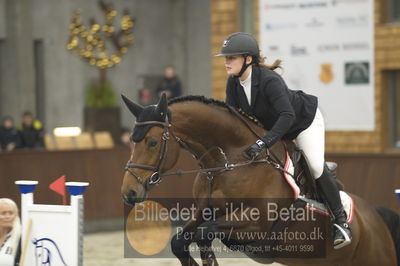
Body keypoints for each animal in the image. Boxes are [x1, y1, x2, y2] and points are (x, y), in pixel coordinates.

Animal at [122, 94, 400, 266]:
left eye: (152, 142)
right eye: (131, 143)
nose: (129, 193)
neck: (227, 160)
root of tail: (375, 217)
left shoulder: (257, 224)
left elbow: (204, 233)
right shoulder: (203, 212)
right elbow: (179, 241)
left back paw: (342, 229)